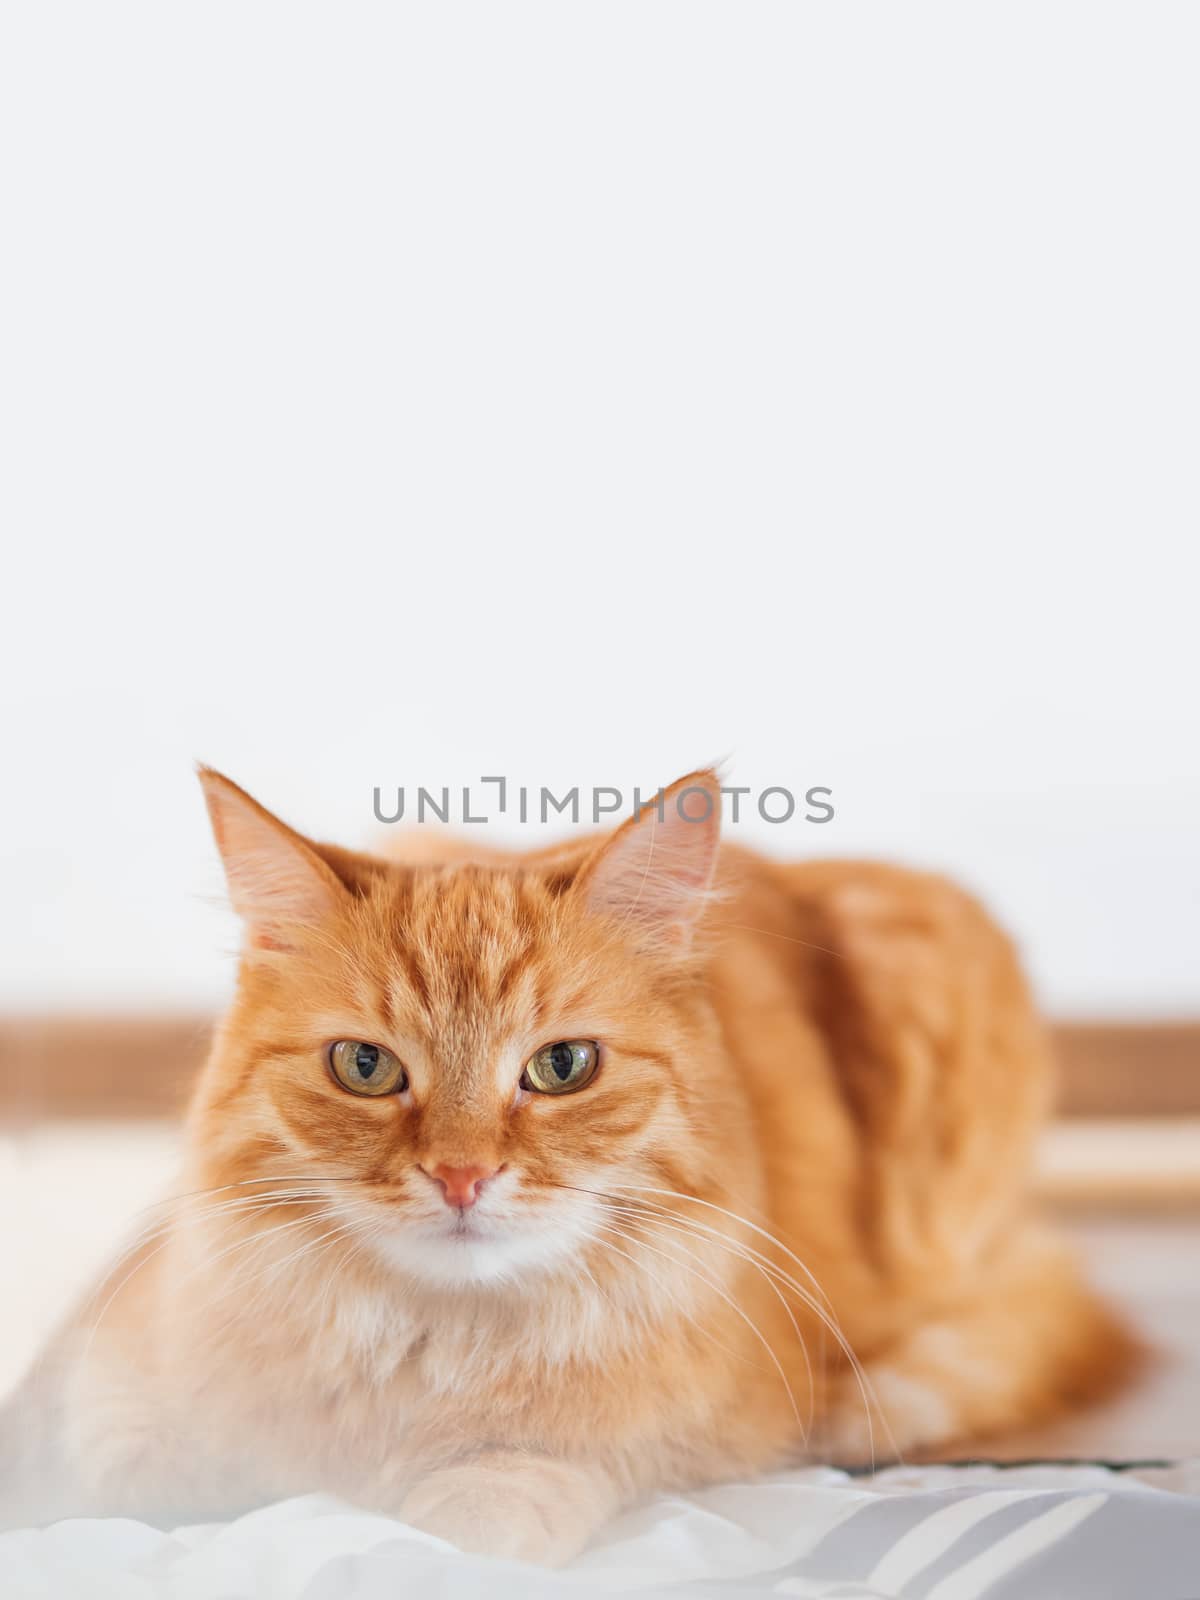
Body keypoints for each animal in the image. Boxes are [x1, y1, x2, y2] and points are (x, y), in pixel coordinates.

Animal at [7, 768, 1139, 1555]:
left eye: (561, 1067)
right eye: (366, 1066)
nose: (461, 1176)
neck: (431, 1356)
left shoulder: (679, 1427)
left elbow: (513, 1490)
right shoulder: (107, 1405)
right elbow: (127, 1473)